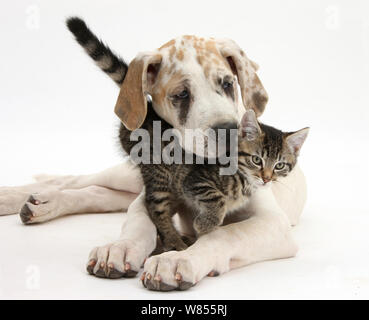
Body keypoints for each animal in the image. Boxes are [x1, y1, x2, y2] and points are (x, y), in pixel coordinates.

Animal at [0, 18, 304, 292]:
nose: (229, 132)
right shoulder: (154, 192)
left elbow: (226, 233)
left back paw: (41, 205)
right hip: (127, 175)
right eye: (181, 94)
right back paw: (24, 198)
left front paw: (179, 259)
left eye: (228, 84)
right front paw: (121, 248)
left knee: (100, 193)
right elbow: (140, 221)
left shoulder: (273, 222)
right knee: (75, 181)